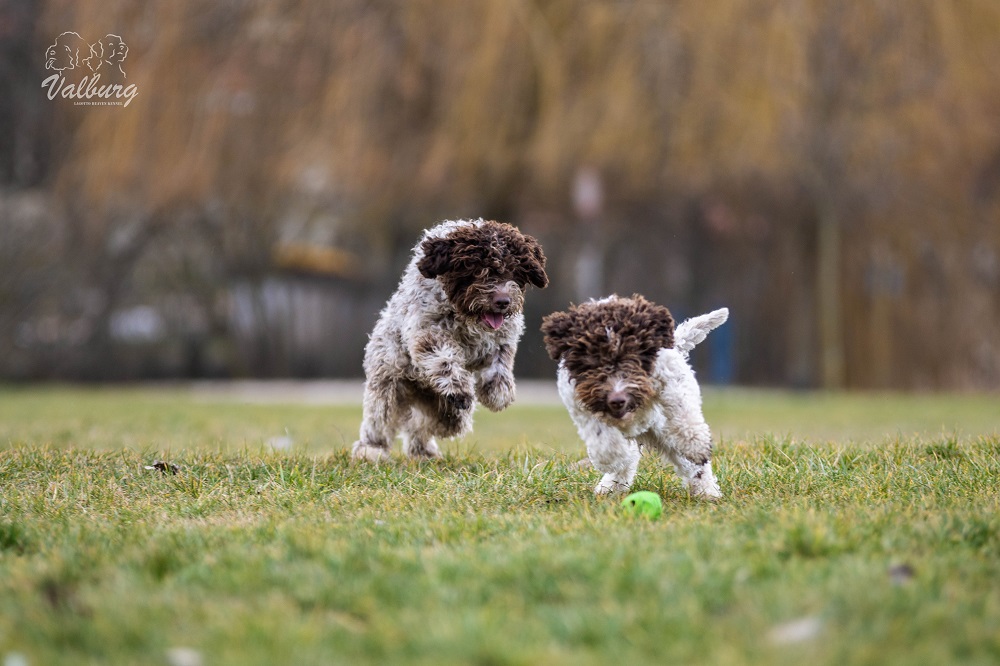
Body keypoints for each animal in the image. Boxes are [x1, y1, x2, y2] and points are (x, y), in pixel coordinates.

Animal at [354, 218, 548, 462]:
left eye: (514, 271)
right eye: (477, 270)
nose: (503, 301)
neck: (466, 317)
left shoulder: (503, 337)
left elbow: (500, 360)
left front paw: (498, 391)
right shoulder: (426, 331)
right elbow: (444, 358)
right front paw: (459, 389)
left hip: (433, 407)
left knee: (427, 424)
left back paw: (424, 451)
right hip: (388, 382)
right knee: (380, 420)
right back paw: (371, 450)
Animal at [544, 294, 732, 496]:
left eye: (632, 353)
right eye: (593, 360)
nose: (617, 399)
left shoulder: (670, 376)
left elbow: (681, 411)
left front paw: (696, 445)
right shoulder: (579, 403)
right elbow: (602, 438)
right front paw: (613, 458)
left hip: (665, 433)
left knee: (692, 464)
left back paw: (707, 491)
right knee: (629, 460)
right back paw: (610, 486)